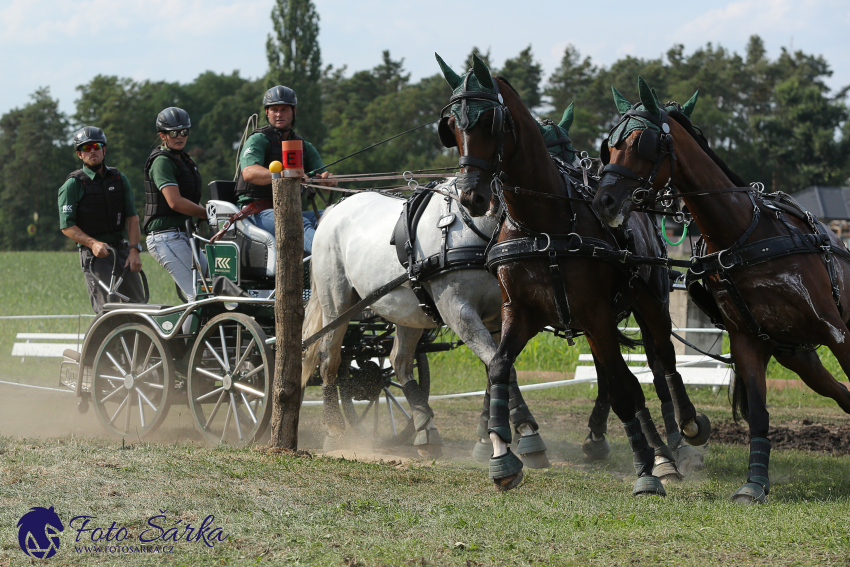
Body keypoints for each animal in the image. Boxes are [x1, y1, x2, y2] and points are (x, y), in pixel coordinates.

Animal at [304, 179, 548, 466]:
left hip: (407, 311)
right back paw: (334, 431)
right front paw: (527, 432)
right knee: (329, 359)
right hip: (336, 304)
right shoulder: (458, 310)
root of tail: (335, 209)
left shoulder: (500, 317)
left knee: (399, 362)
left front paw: (490, 437)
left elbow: (496, 367)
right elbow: (501, 368)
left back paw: (425, 428)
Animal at [434, 54, 704, 496]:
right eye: (452, 125)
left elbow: (628, 387)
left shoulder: (596, 314)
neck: (543, 224)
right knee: (623, 377)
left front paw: (647, 468)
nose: (472, 196)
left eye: (489, 121)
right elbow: (499, 368)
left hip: (650, 304)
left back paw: (680, 438)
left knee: (660, 363)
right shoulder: (520, 312)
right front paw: (502, 454)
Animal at [588, 76, 850, 506]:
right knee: (840, 393)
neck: (745, 234)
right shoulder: (748, 340)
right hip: (797, 354)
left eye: (642, 143)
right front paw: (754, 483)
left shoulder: (836, 331)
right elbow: (759, 413)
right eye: (607, 146)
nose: (604, 202)